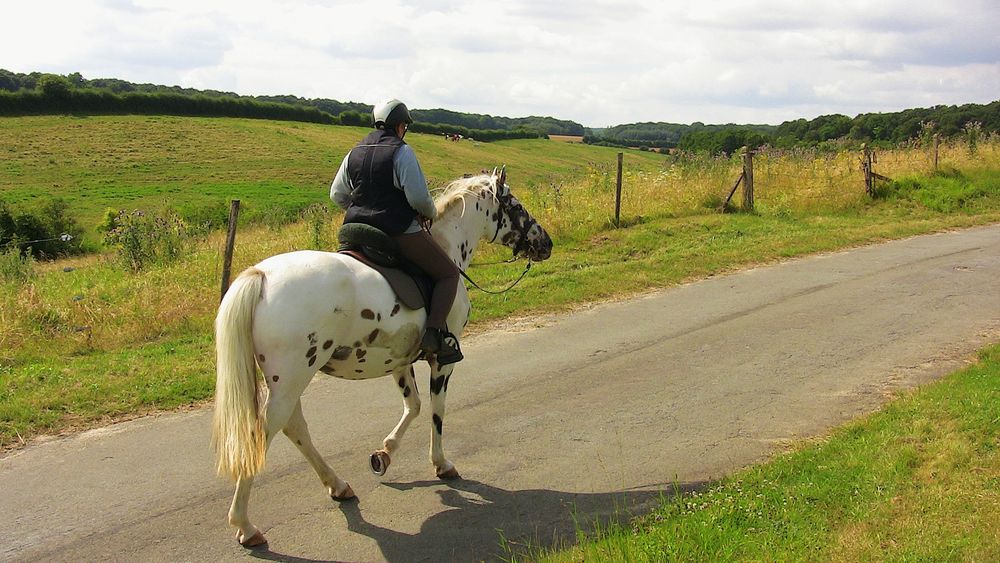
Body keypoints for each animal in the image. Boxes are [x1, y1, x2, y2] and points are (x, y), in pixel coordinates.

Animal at [213, 166, 556, 548]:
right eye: (515, 205)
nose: (546, 243)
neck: (447, 245)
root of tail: (260, 275)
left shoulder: (400, 360)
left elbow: (414, 406)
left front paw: (384, 455)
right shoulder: (443, 361)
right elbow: (436, 411)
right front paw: (441, 463)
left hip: (289, 381)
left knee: (295, 427)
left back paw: (338, 485)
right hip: (291, 379)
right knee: (266, 432)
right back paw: (245, 525)